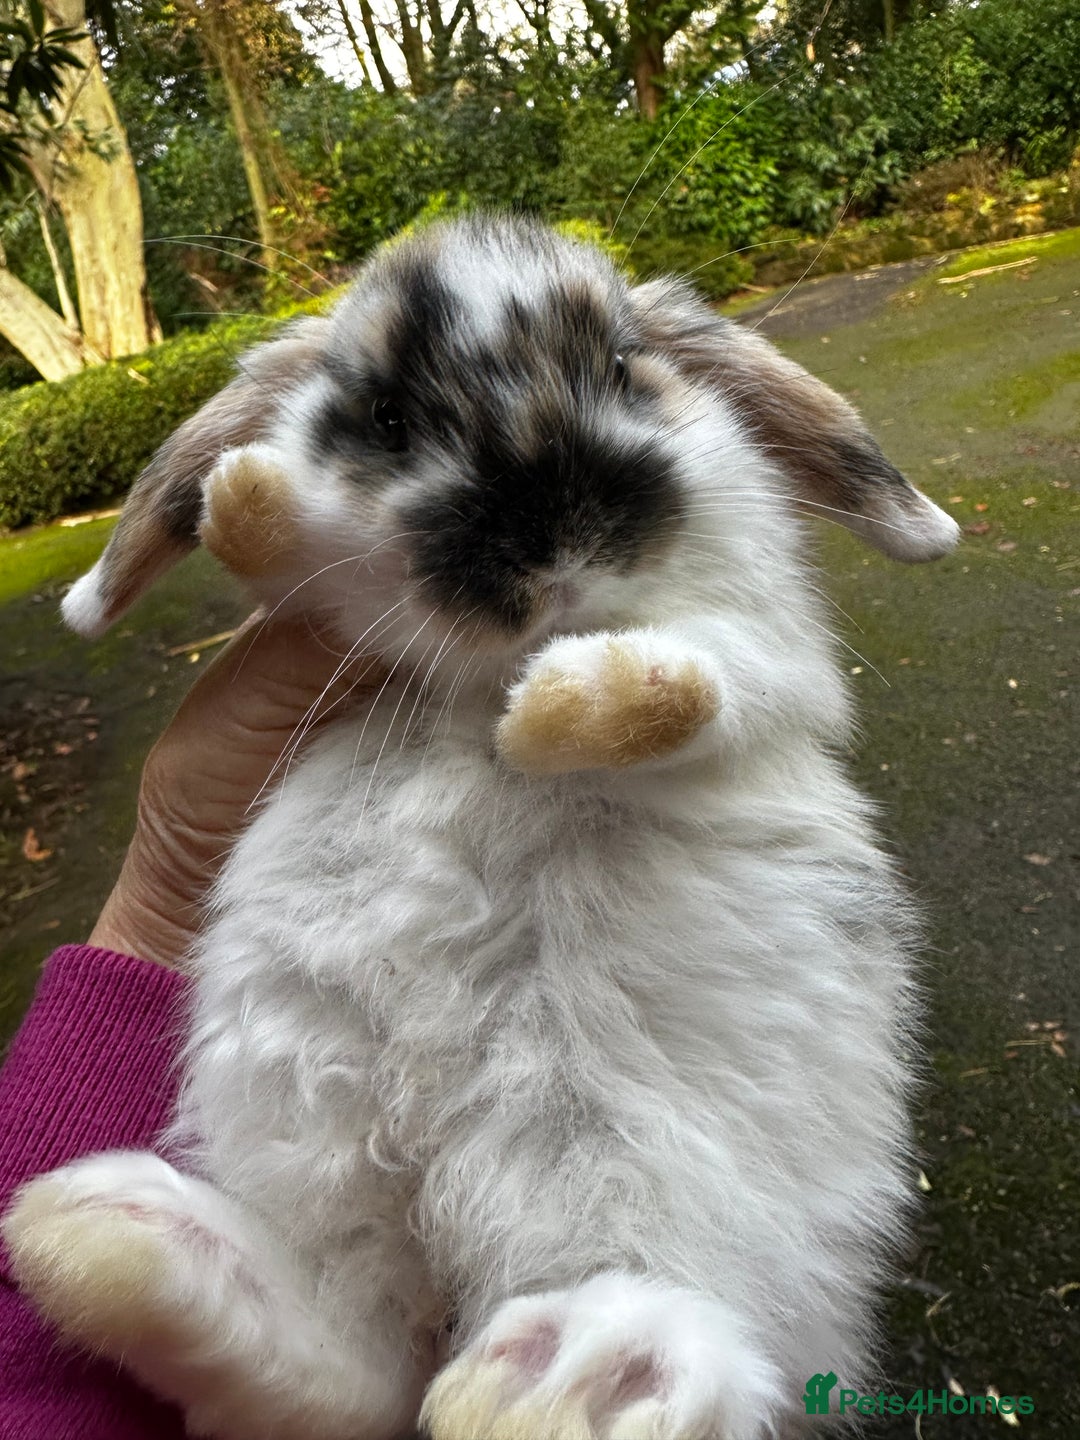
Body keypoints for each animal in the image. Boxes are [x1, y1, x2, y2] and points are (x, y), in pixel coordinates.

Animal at [3, 214, 959, 1440]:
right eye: (385, 419)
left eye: (623, 368)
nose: (554, 539)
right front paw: (253, 493)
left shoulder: (764, 658)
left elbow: (684, 686)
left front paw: (545, 723)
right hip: (305, 1109)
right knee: (352, 1364)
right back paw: (105, 1238)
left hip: (664, 1187)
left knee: (678, 1336)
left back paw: (571, 1383)